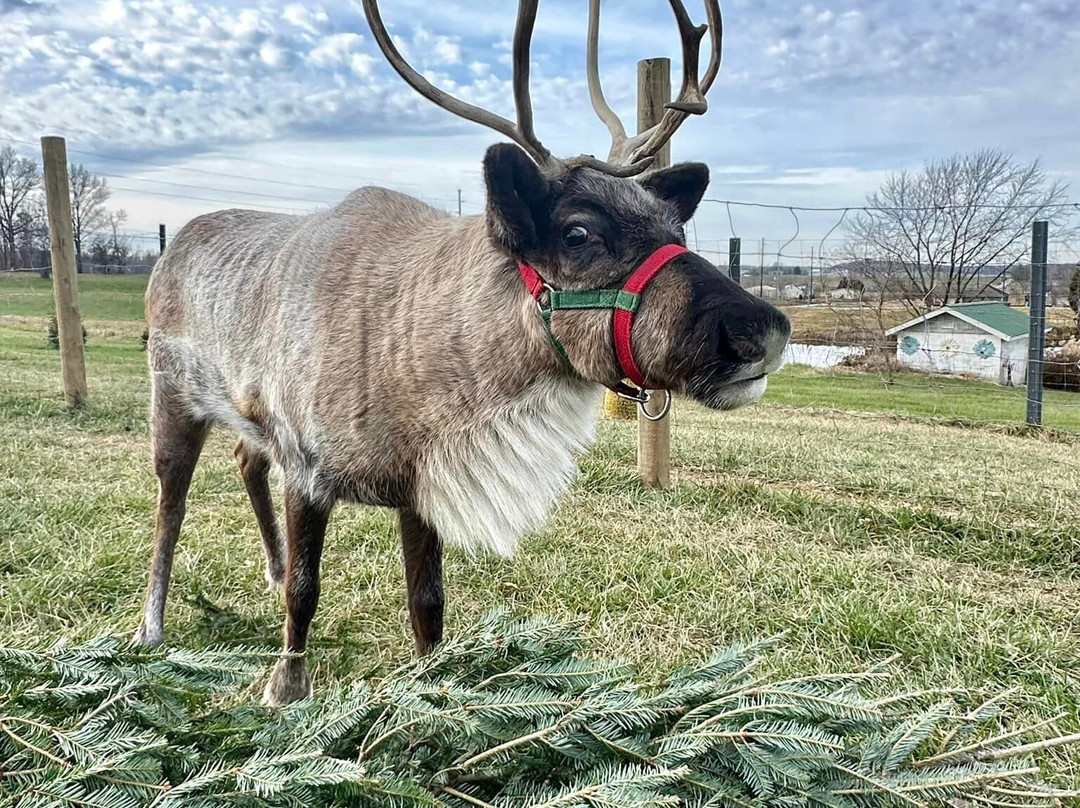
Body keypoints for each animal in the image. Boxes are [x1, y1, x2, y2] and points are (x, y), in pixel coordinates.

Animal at [133, 0, 790, 706]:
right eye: (578, 232)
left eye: (676, 230)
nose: (763, 329)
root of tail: (172, 247)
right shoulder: (308, 468)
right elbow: (307, 595)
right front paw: (286, 686)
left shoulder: (416, 491)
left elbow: (428, 605)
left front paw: (432, 694)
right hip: (172, 396)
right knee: (169, 505)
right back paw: (151, 626)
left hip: (248, 419)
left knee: (246, 461)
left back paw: (271, 566)